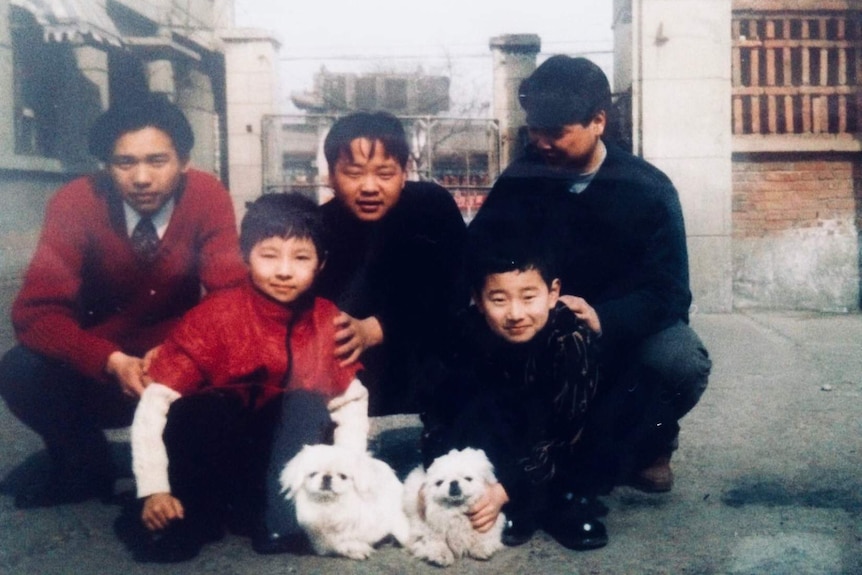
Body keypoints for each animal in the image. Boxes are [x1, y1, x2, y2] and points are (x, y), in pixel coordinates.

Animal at [278, 444, 410, 560]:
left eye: (343, 476)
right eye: (313, 474)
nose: (327, 477)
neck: (332, 507)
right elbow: (340, 543)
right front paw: (356, 549)